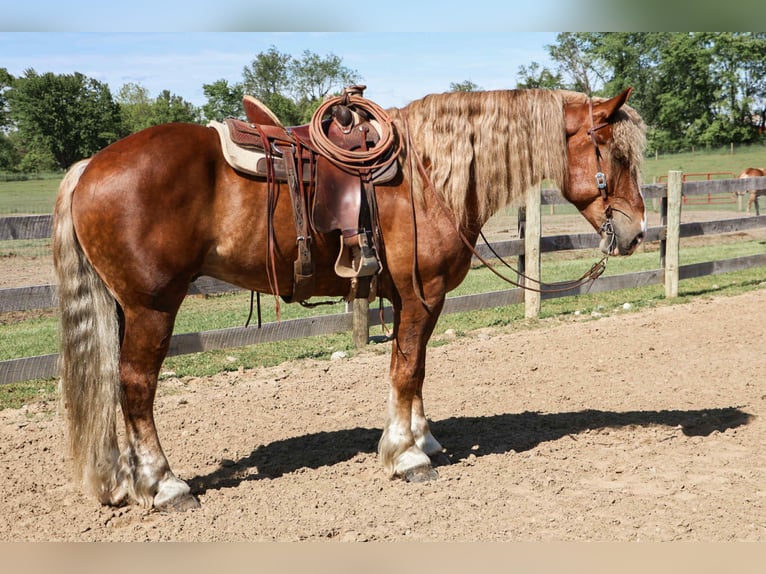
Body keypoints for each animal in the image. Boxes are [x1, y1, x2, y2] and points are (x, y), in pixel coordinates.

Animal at [52, 87, 647, 511]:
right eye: (616, 155)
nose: (637, 232)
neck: (429, 176)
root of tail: (90, 167)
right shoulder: (421, 295)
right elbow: (407, 370)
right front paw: (406, 456)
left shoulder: (413, 301)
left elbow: (416, 368)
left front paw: (422, 439)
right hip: (152, 307)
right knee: (136, 388)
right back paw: (164, 485)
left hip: (125, 310)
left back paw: (125, 481)